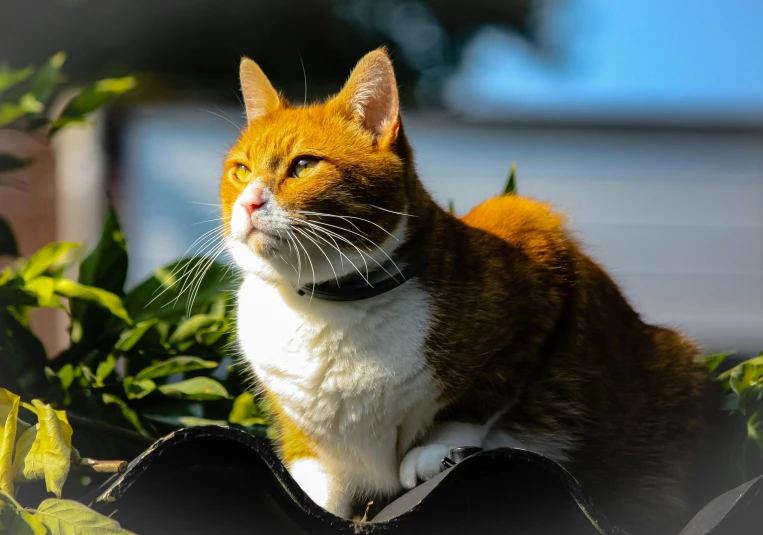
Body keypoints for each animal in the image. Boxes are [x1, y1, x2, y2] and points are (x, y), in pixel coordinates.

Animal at [219, 47, 716, 532]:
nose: (249, 202)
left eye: (303, 165)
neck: (327, 308)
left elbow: (480, 399)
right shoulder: (305, 440)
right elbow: (311, 482)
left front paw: (434, 451)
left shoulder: (533, 243)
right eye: (241, 170)